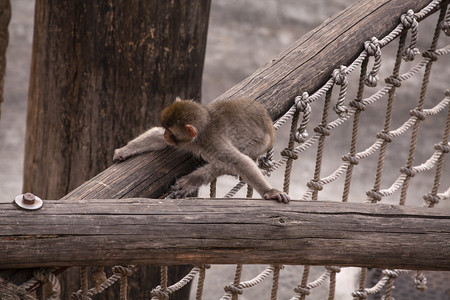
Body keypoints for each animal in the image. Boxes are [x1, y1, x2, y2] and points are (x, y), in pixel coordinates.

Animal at [112, 98, 288, 204]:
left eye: (171, 133)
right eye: (166, 130)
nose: (166, 134)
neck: (199, 137)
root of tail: (269, 125)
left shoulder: (213, 143)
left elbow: (239, 162)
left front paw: (270, 191)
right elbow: (157, 137)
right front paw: (125, 150)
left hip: (261, 143)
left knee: (228, 162)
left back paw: (191, 181)